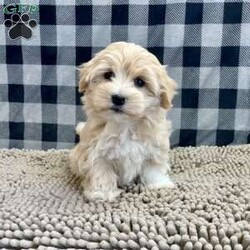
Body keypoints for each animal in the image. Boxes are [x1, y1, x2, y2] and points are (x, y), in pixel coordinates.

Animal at [69, 41, 177, 201]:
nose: (118, 98)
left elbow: (153, 167)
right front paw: (102, 193)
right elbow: (101, 171)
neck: (125, 125)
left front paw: (158, 184)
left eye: (139, 81)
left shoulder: (155, 147)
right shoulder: (95, 152)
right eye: (108, 75)